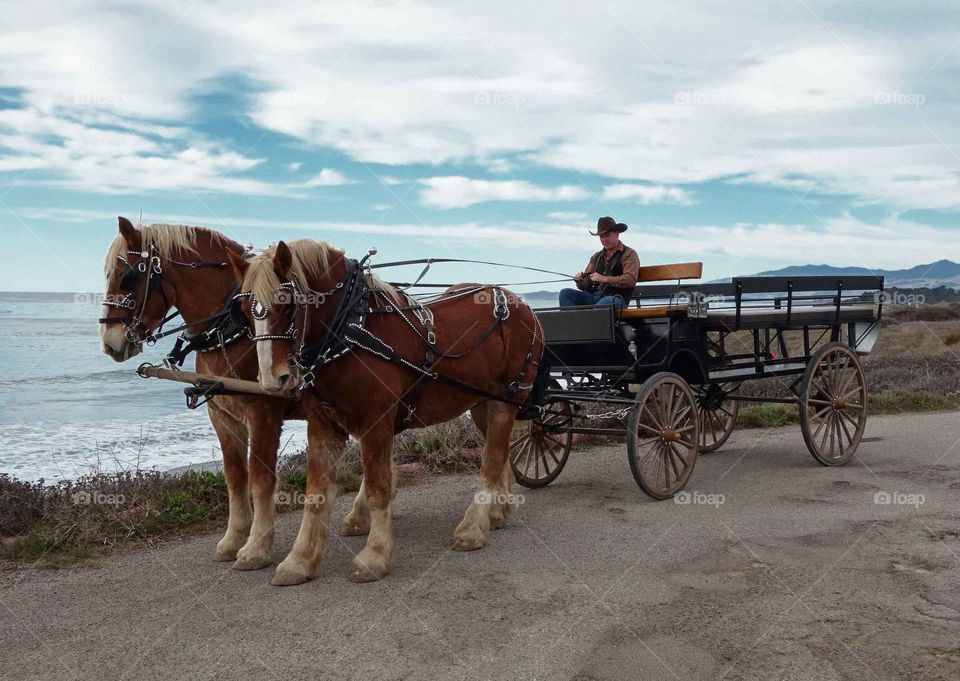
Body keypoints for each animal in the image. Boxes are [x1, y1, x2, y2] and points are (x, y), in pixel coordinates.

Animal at [99, 217, 366, 573]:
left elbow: (260, 479)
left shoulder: (263, 415)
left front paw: (256, 547)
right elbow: (235, 477)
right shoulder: (222, 416)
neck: (232, 326)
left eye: (126, 275)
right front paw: (234, 538)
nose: (109, 342)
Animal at [227, 239, 544, 584]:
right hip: (481, 403)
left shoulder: (375, 422)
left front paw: (375, 555)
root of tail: (523, 306)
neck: (349, 329)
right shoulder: (323, 425)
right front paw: (299, 560)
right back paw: (497, 511)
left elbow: (378, 488)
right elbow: (316, 494)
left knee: (492, 459)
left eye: (286, 304)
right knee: (500, 450)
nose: (273, 379)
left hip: (506, 399)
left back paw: (473, 527)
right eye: (244, 312)